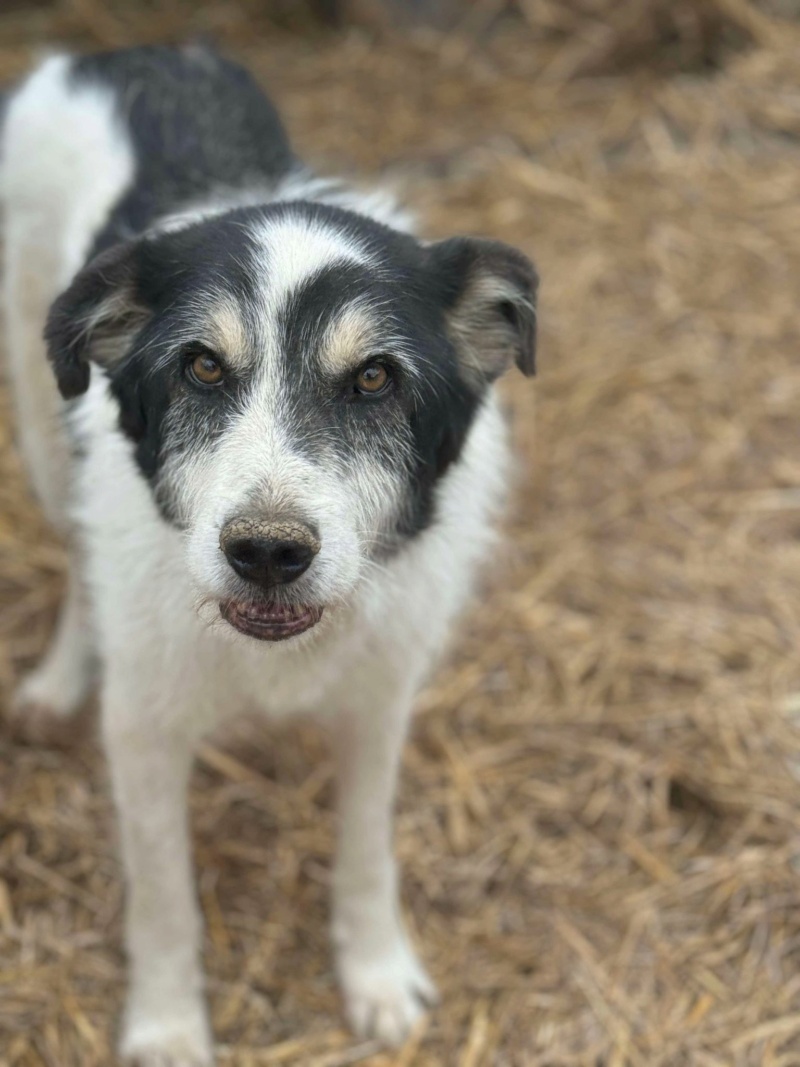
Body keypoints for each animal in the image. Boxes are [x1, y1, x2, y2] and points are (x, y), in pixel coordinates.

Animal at [1, 48, 539, 1067]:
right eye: (203, 367)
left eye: (375, 378)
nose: (266, 553)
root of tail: (114, 53)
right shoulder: (143, 731)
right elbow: (164, 899)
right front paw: (167, 1026)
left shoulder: (379, 702)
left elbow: (366, 851)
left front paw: (375, 976)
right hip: (40, 419)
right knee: (79, 548)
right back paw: (57, 680)